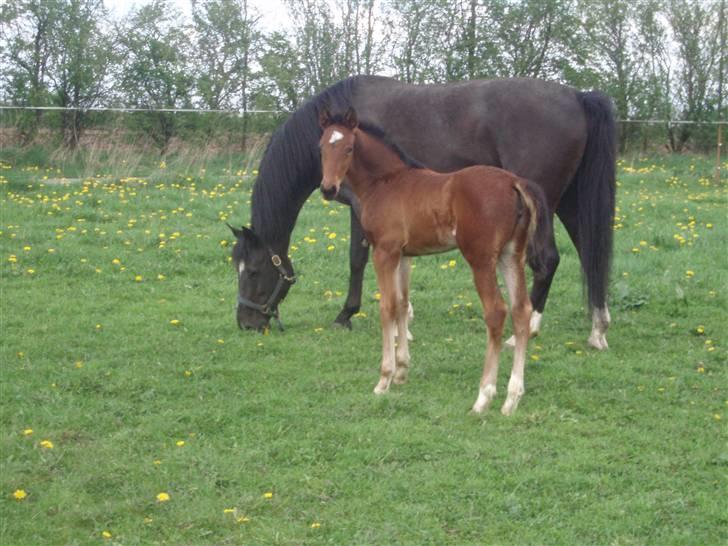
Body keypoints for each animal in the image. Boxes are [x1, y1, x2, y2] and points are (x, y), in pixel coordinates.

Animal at [318, 105, 552, 412]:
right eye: (321, 147)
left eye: (349, 148)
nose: (328, 189)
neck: (385, 182)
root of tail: (514, 182)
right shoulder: (404, 255)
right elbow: (402, 304)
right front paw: (402, 371)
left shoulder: (384, 252)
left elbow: (387, 307)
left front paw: (384, 379)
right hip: (511, 255)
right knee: (521, 310)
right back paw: (511, 399)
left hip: (480, 259)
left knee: (496, 312)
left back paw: (483, 397)